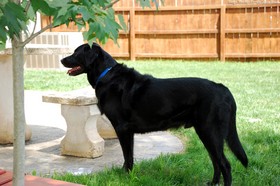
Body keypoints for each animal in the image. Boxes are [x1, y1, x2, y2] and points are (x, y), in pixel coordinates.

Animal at [60, 43, 247, 186]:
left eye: (76, 53)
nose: (61, 59)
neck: (107, 74)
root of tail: (223, 88)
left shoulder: (122, 128)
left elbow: (127, 155)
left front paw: (125, 175)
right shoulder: (128, 131)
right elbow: (130, 155)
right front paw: (128, 174)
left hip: (210, 131)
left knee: (225, 164)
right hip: (206, 133)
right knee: (216, 161)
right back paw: (213, 183)